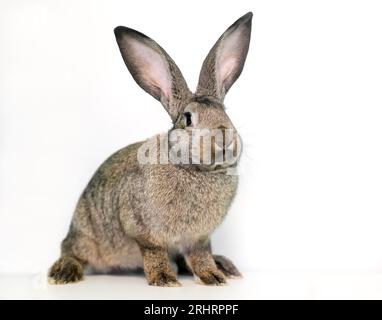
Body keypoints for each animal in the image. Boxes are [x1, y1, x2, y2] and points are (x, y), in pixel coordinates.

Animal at [49, 12, 254, 286]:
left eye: (226, 113)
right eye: (188, 119)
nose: (224, 136)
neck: (195, 170)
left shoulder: (198, 240)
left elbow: (200, 256)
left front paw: (213, 276)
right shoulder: (142, 229)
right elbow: (154, 251)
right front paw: (165, 279)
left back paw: (224, 266)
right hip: (86, 235)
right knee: (72, 251)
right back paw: (63, 273)